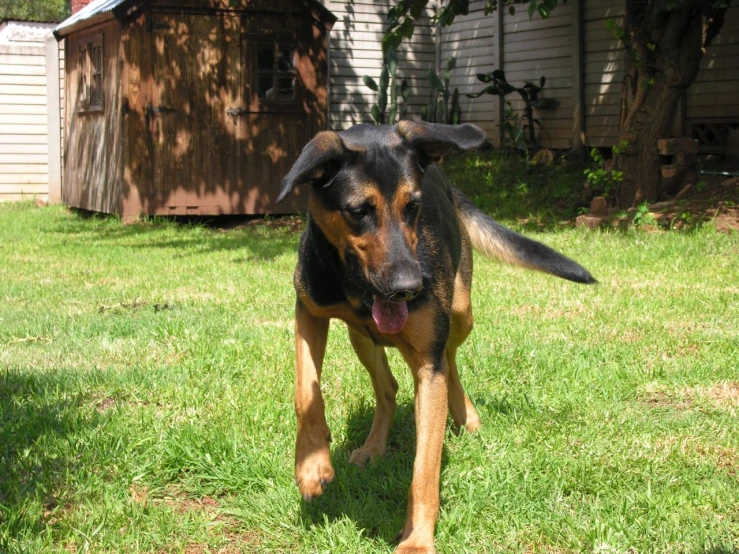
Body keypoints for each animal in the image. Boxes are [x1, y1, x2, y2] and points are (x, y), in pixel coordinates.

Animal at [278, 122, 596, 552]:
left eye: (413, 205)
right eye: (358, 211)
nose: (409, 288)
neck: (355, 287)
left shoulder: (429, 365)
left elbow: (425, 466)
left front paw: (417, 539)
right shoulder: (308, 312)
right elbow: (306, 391)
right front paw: (312, 464)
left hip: (460, 313)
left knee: (450, 358)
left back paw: (466, 413)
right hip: (361, 337)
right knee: (388, 388)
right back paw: (373, 446)